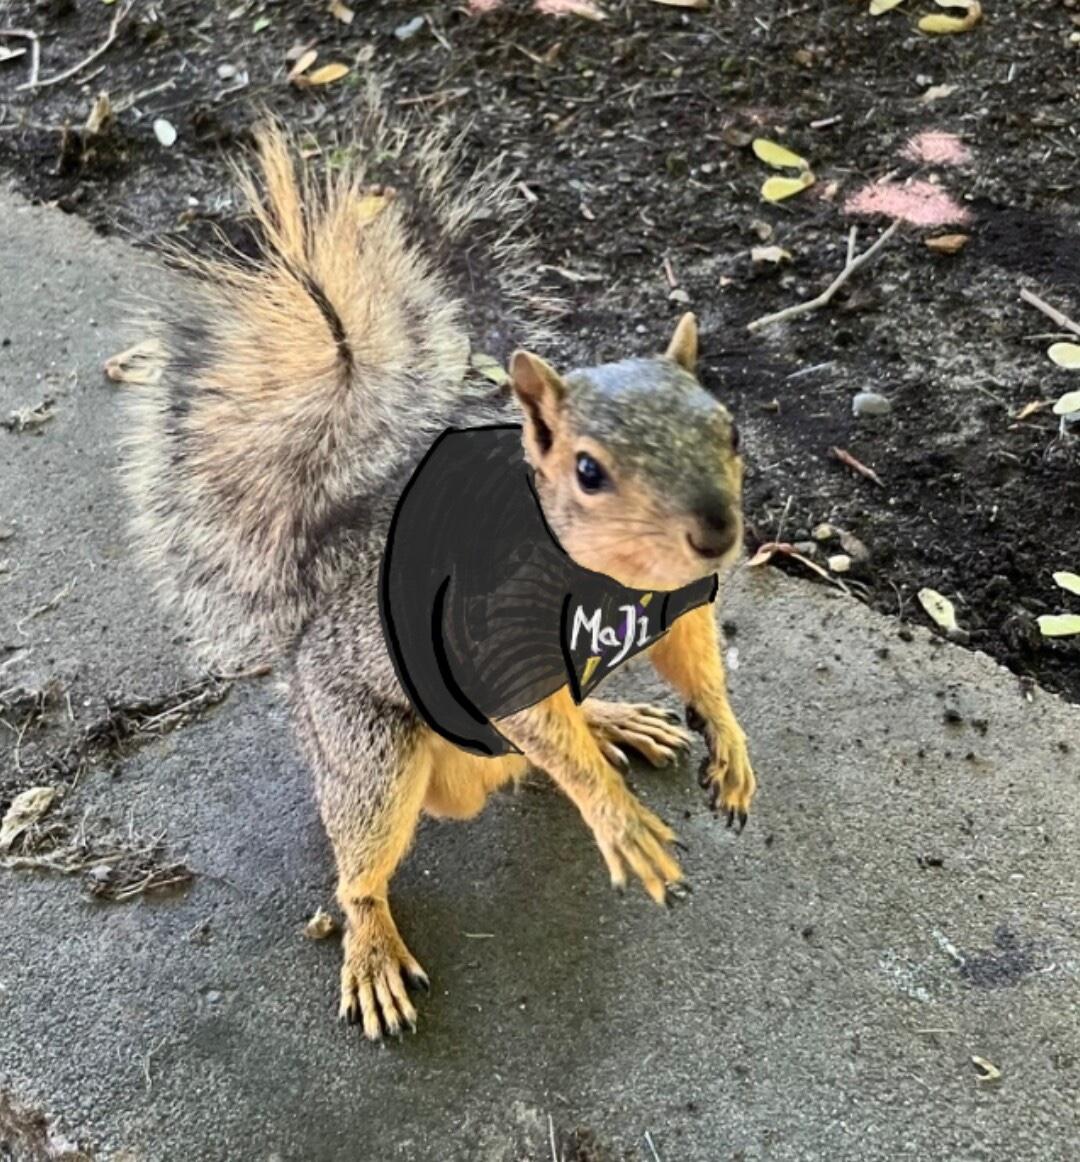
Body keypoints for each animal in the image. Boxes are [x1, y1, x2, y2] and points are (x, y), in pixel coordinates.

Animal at [112, 93, 756, 1042]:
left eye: (730, 429)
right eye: (588, 470)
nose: (717, 535)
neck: (620, 579)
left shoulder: (678, 604)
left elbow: (699, 664)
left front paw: (729, 742)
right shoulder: (494, 632)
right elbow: (546, 729)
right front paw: (619, 821)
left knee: (548, 742)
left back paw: (614, 722)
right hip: (368, 754)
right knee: (367, 863)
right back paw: (373, 947)